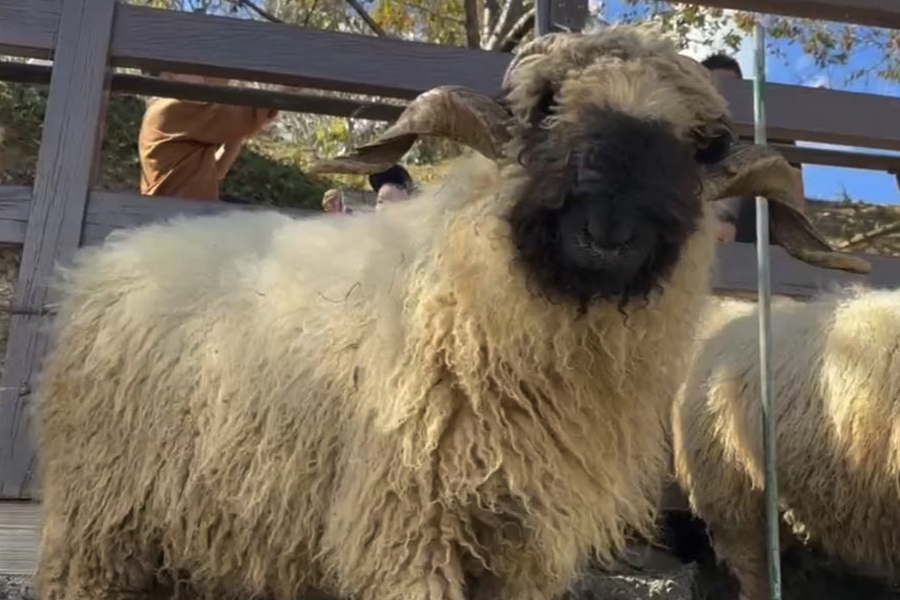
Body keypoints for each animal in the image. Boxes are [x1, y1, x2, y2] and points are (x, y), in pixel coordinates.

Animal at [33, 23, 864, 600]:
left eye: (701, 147)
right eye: (544, 109)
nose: (610, 226)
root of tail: (106, 259)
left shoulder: (520, 544)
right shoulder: (405, 526)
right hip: (100, 517)